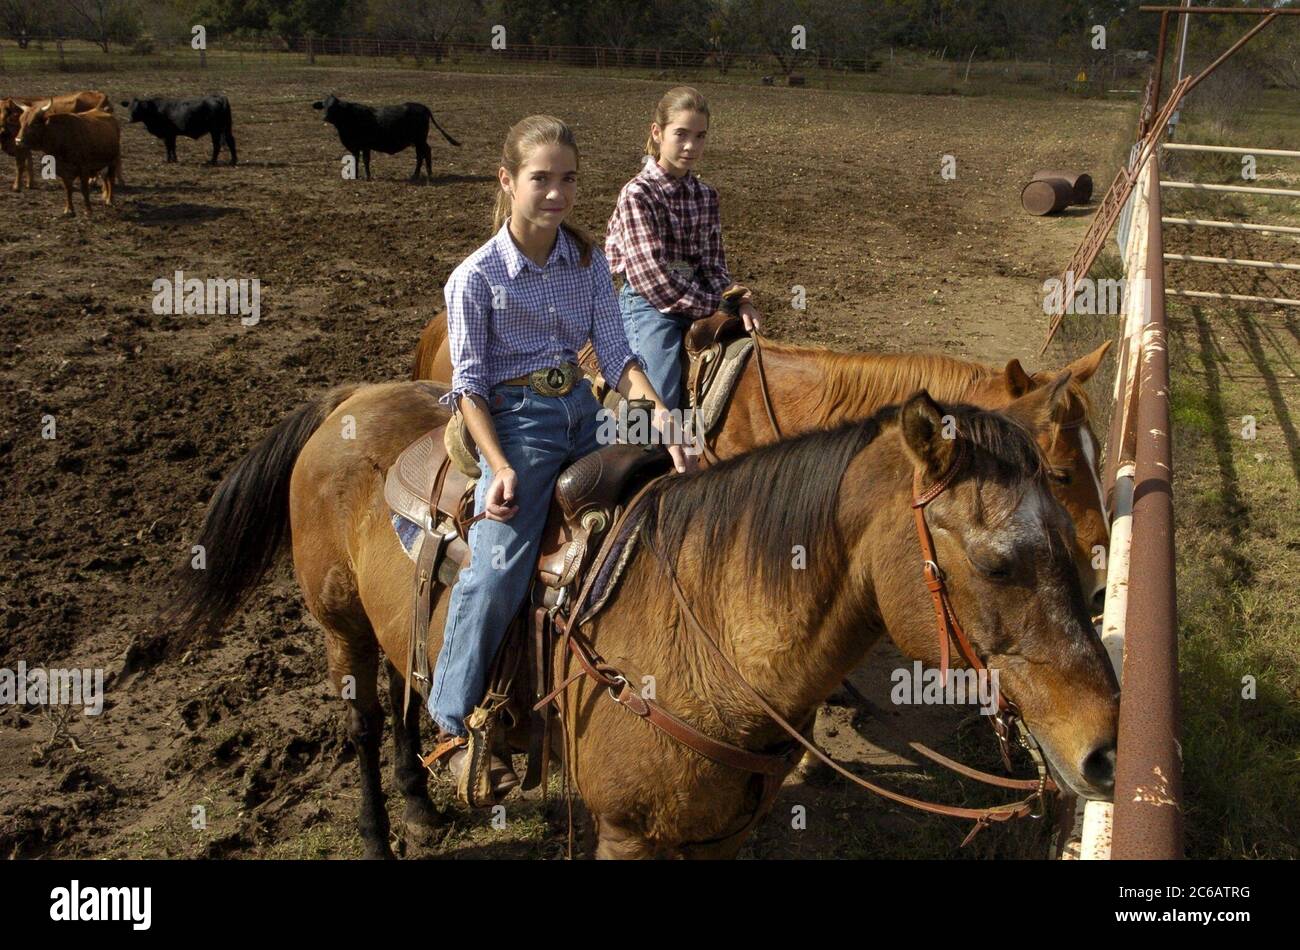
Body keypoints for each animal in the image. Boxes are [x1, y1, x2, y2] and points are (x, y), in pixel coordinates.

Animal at [167, 374, 1118, 857]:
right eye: (996, 563)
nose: (1106, 751)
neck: (710, 635)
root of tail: (347, 400)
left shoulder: (721, 835)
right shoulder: (627, 837)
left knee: (410, 696)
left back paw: (424, 803)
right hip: (341, 627)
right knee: (364, 721)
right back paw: (378, 829)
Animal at [310, 96, 462, 184]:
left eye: (335, 106)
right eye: (324, 106)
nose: (326, 117)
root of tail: (423, 107)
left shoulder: (365, 145)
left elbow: (366, 160)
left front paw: (368, 177)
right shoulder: (355, 146)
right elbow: (355, 160)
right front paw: (356, 175)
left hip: (419, 140)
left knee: (425, 153)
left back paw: (427, 174)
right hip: (417, 141)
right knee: (422, 154)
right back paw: (417, 175)